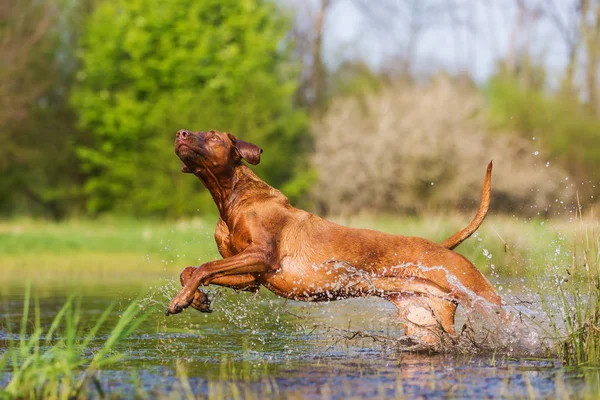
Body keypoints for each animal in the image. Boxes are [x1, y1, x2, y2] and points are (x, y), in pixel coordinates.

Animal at [168, 130, 502, 342]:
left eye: (212, 135)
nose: (180, 133)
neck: (231, 198)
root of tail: (442, 247)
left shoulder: (262, 256)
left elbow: (205, 267)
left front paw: (181, 300)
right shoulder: (252, 278)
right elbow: (191, 270)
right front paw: (196, 298)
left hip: (483, 298)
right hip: (422, 318)